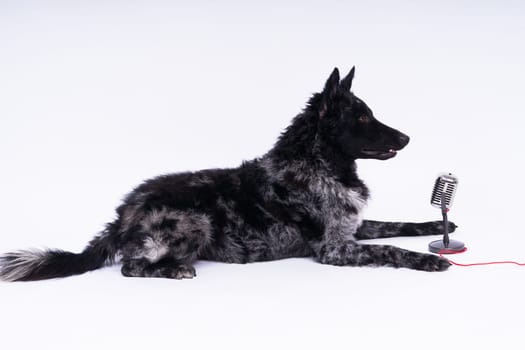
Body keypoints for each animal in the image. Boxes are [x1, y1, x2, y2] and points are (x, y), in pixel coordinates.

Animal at [0, 67, 452, 282]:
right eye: (362, 117)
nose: (407, 137)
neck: (316, 163)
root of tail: (123, 212)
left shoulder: (352, 227)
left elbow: (396, 224)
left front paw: (435, 226)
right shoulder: (335, 249)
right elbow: (390, 250)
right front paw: (427, 261)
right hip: (195, 221)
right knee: (130, 266)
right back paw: (172, 270)